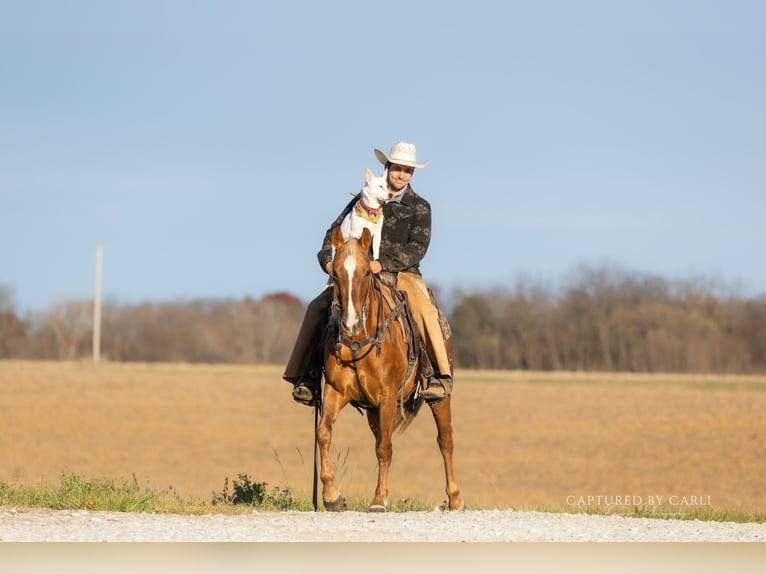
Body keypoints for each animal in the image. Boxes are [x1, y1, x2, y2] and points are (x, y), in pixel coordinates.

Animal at [316, 225, 464, 512]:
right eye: (334, 272)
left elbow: (384, 448)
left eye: (365, 272)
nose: (350, 323)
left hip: (439, 398)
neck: (359, 341)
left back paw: (455, 499)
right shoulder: (335, 392)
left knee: (446, 441)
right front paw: (332, 496)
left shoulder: (387, 396)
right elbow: (324, 434)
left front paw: (378, 500)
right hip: (374, 411)